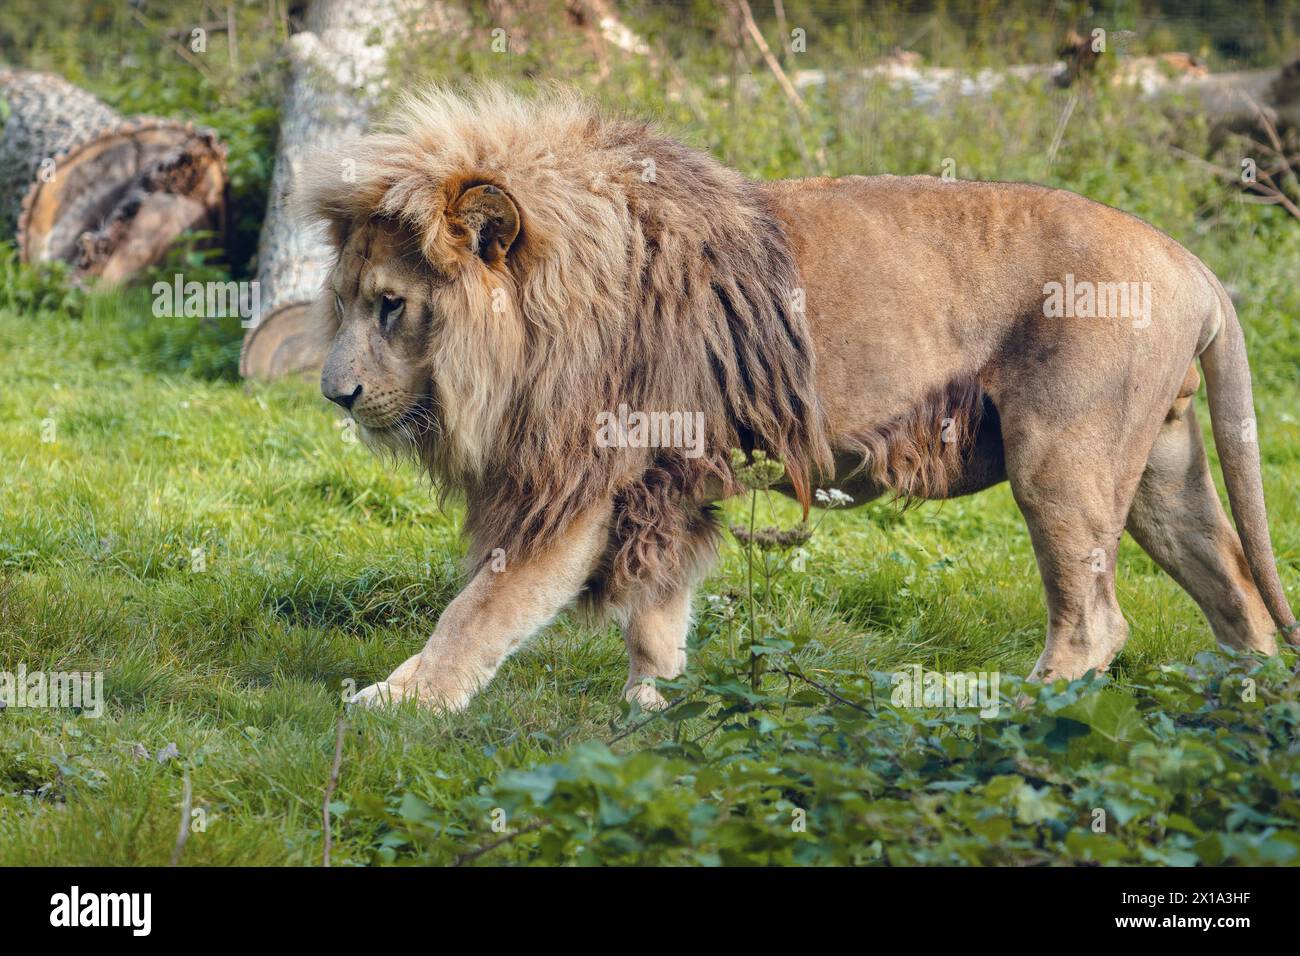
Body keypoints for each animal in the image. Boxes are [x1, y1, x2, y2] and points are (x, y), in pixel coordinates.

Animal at [299, 85, 1297, 711]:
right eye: (344, 302)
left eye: (391, 305)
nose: (335, 394)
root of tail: (1191, 263)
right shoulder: (669, 472)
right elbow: (658, 604)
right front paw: (653, 701)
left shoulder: (584, 475)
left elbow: (482, 608)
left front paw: (400, 700)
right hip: (1164, 469)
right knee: (1240, 598)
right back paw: (1240, 719)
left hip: (1062, 460)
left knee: (1097, 621)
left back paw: (1029, 714)